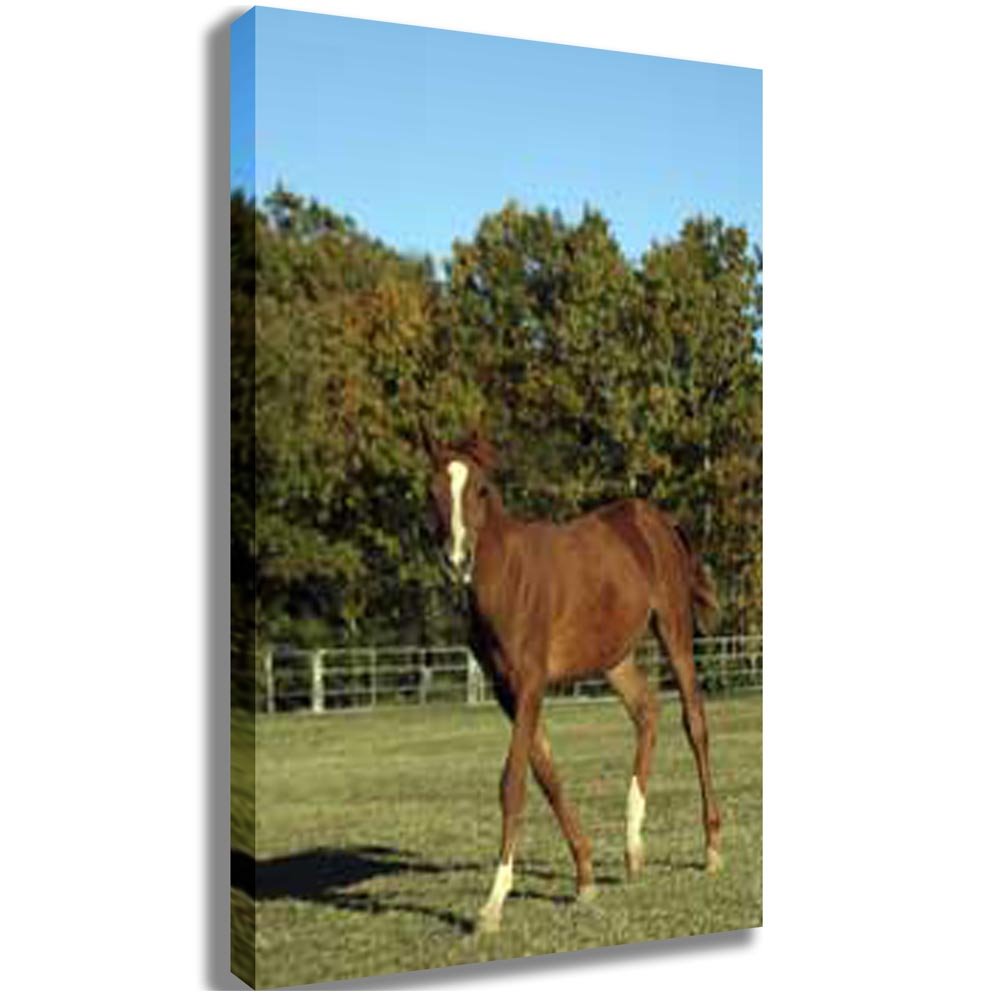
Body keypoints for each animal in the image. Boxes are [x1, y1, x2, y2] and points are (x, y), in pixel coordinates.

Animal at [422, 428, 722, 933]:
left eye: (480, 489)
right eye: (433, 492)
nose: (458, 560)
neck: (507, 579)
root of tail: (655, 519)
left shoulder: (530, 683)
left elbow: (513, 783)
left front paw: (492, 905)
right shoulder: (506, 691)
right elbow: (546, 774)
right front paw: (585, 877)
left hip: (673, 628)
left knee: (694, 722)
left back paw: (712, 848)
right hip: (613, 658)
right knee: (647, 711)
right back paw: (633, 849)